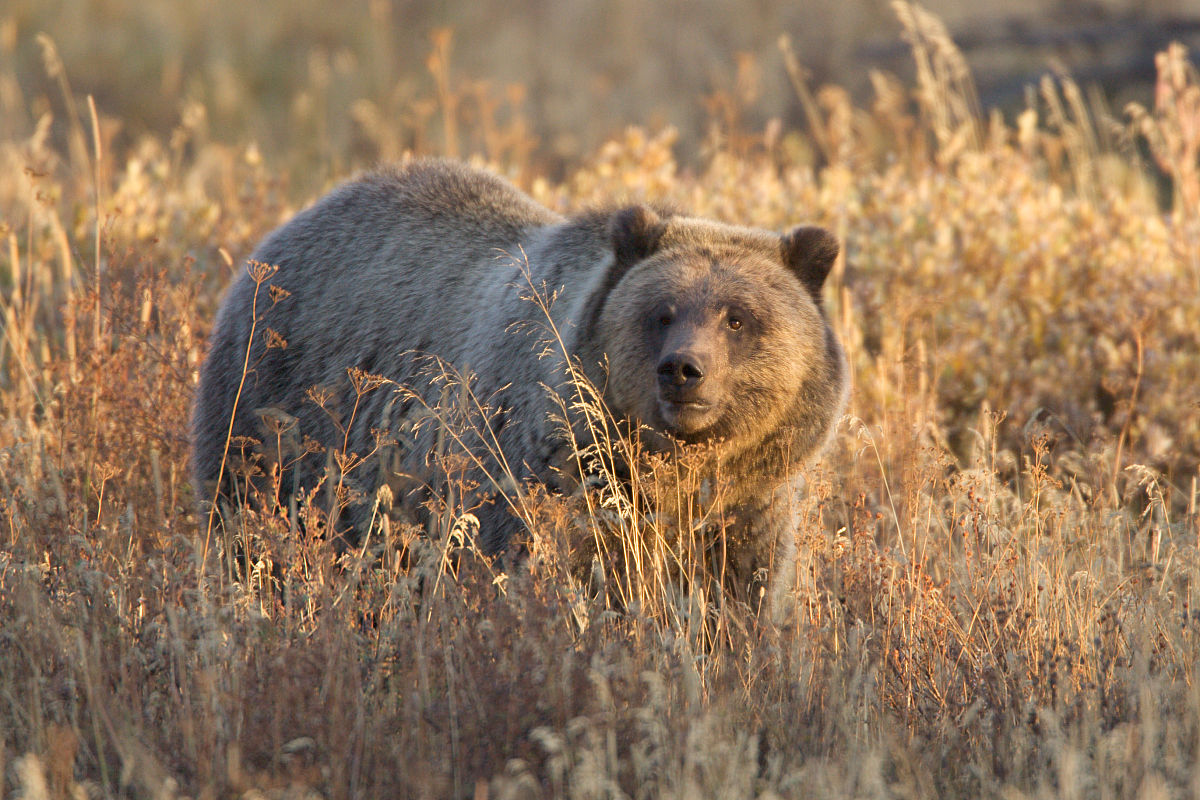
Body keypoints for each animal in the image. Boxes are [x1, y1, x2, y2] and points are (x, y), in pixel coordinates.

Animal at [190, 157, 848, 615]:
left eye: (737, 317)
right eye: (661, 312)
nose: (683, 370)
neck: (671, 476)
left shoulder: (748, 506)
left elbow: (738, 602)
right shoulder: (547, 480)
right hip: (275, 425)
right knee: (252, 537)